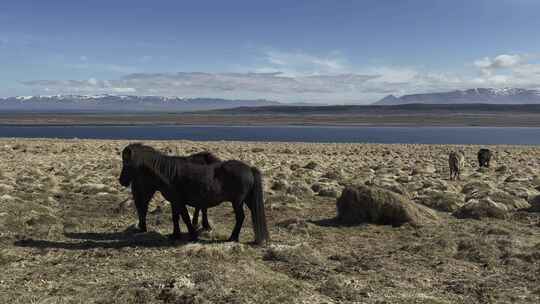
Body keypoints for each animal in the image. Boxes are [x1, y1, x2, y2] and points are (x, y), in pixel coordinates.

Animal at [118, 143, 270, 245]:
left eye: (127, 163)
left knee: (240, 217)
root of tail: (249, 168)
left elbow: (185, 217)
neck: (167, 173)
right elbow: (175, 217)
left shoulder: (179, 201)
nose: (121, 181)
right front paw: (175, 234)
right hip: (247, 200)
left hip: (237, 201)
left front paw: (192, 234)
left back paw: (233, 238)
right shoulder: (174, 201)